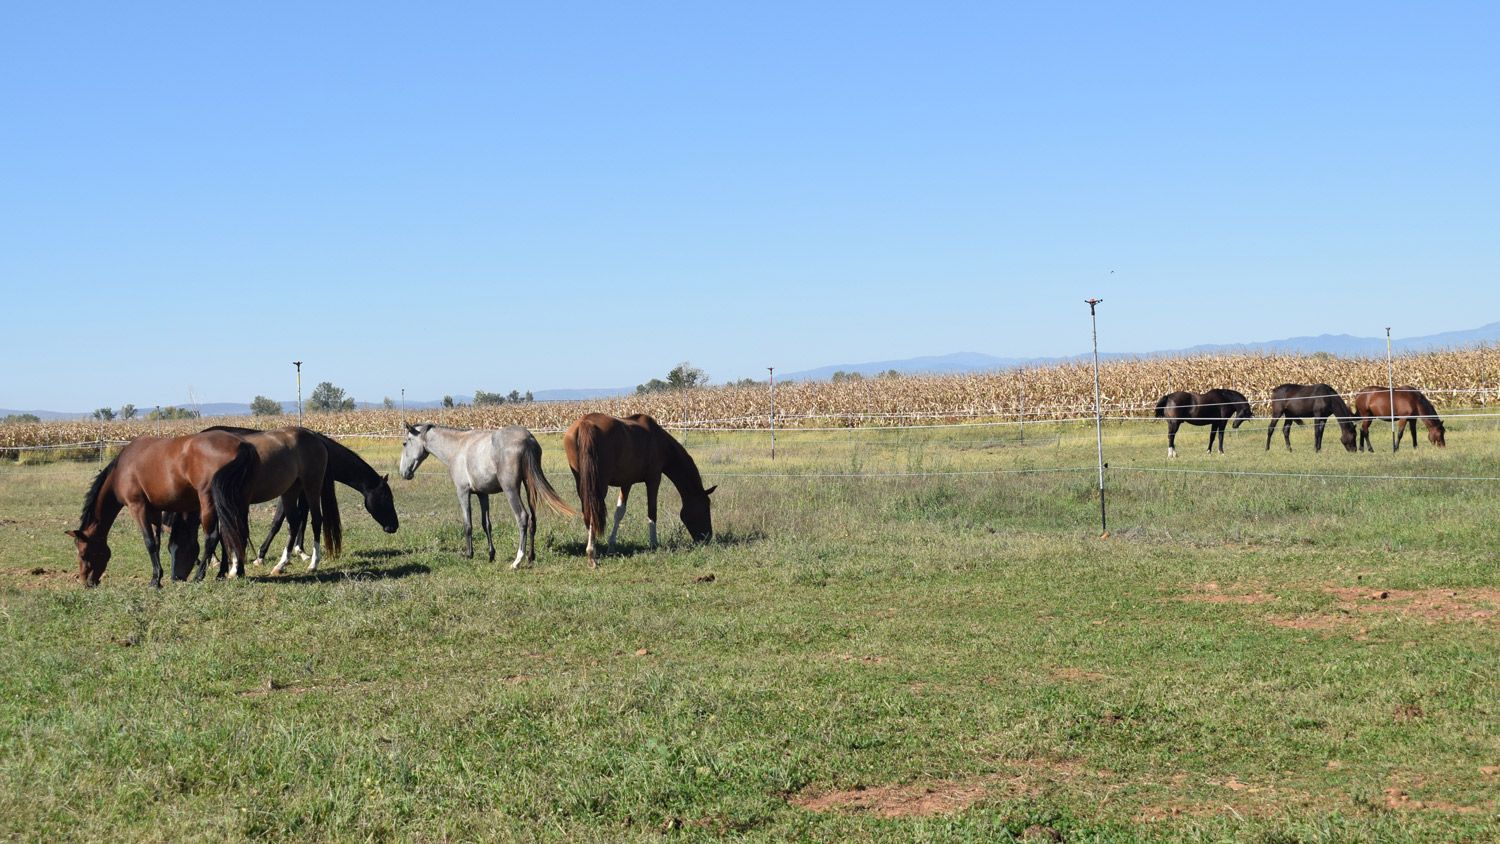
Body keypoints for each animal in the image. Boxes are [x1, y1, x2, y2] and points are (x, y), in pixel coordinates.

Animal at [67, 431, 256, 588]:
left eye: (83, 554)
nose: (85, 582)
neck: (122, 469)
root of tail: (240, 444)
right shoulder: (155, 512)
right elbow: (156, 543)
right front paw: (158, 577)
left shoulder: (138, 507)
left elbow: (149, 542)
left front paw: (154, 581)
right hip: (233, 503)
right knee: (232, 534)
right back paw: (227, 573)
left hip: (209, 502)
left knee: (213, 537)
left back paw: (199, 576)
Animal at [202, 426, 398, 569]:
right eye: (387, 498)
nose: (394, 526)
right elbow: (279, 522)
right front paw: (262, 555)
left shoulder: (302, 492)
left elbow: (301, 519)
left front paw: (300, 551)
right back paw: (214, 560)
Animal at [399, 424, 578, 567]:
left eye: (405, 443)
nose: (403, 473)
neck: (457, 448)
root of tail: (528, 438)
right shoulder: (482, 494)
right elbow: (486, 524)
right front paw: (491, 555)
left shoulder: (463, 492)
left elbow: (468, 524)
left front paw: (469, 554)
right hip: (529, 486)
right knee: (533, 519)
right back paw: (530, 557)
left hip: (511, 490)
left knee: (522, 517)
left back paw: (517, 560)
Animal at [563, 413, 716, 568]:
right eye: (705, 507)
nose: (707, 537)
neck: (659, 441)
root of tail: (586, 423)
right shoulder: (654, 479)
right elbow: (652, 512)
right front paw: (653, 544)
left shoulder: (626, 483)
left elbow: (619, 513)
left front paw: (611, 546)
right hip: (599, 485)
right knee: (593, 511)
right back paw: (591, 553)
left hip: (583, 484)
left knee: (587, 512)